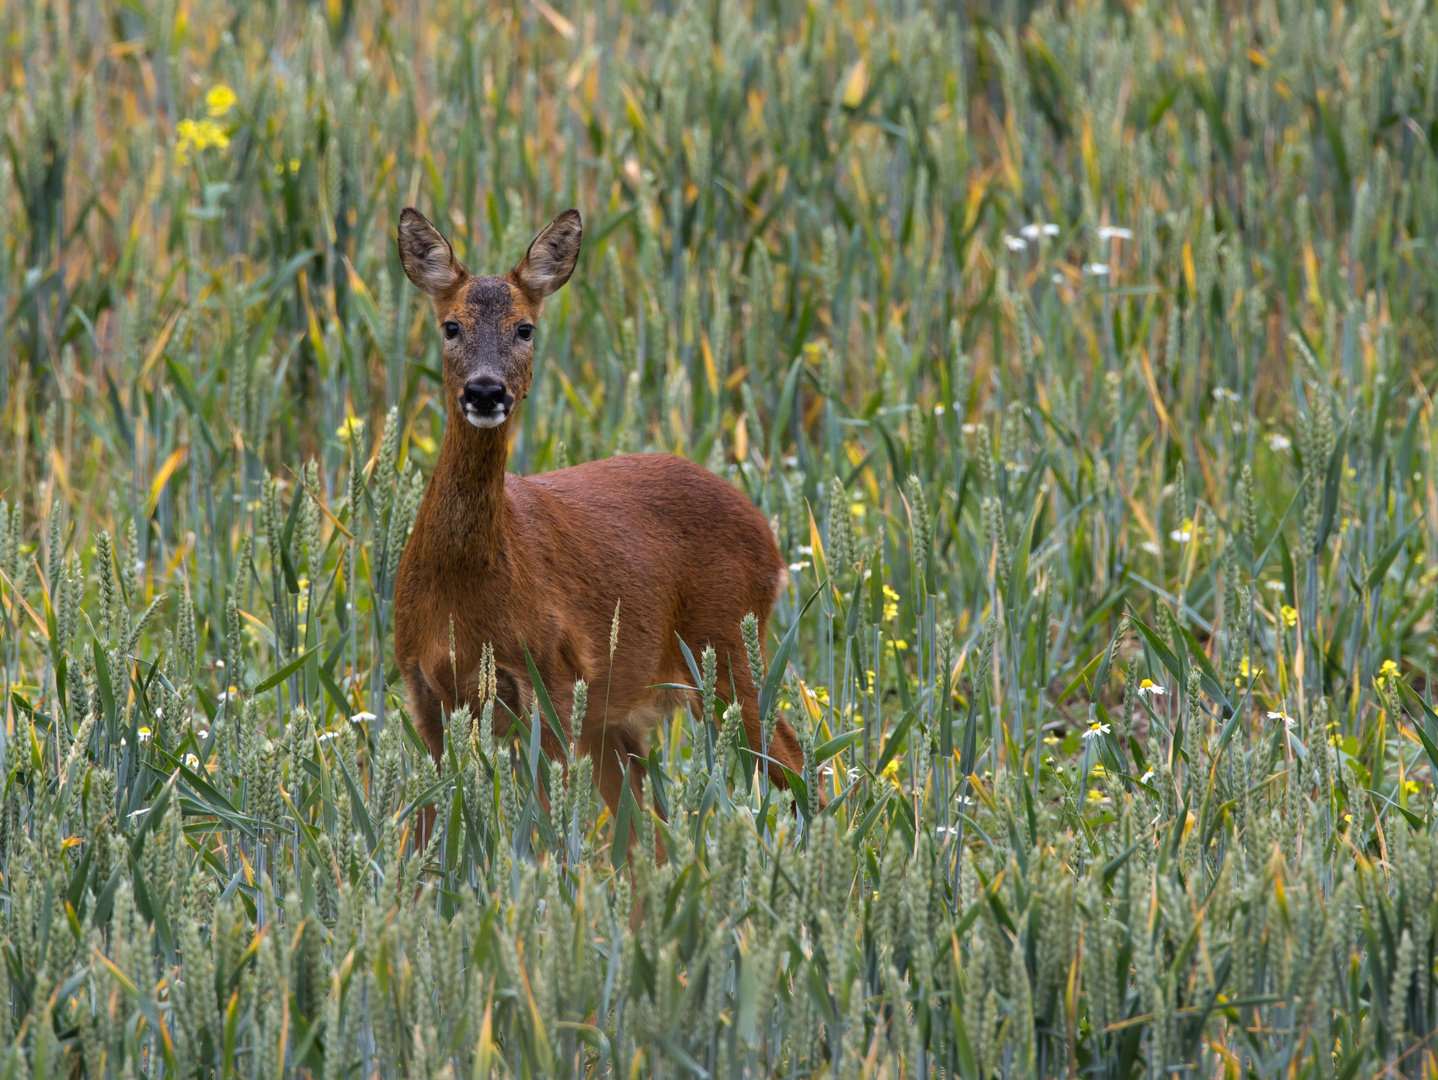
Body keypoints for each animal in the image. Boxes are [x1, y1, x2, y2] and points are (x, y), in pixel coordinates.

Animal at [391, 207, 811, 816]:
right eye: (450, 326)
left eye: (525, 328)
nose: (486, 391)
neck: (461, 590)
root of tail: (769, 538)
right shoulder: (423, 694)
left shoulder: (555, 680)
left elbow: (546, 816)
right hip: (627, 714)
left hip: (728, 646)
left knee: (798, 760)